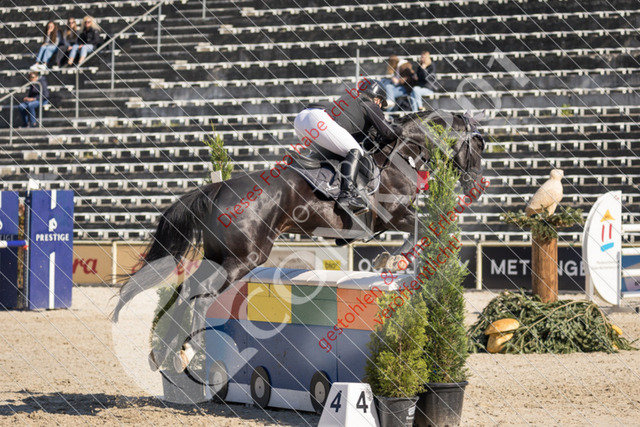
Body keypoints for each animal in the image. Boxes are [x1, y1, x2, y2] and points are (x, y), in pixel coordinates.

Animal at [112, 110, 486, 372]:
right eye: (479, 146)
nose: (476, 188)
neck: (399, 155)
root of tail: (218, 188)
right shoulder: (392, 215)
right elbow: (423, 228)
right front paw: (393, 260)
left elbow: (424, 229)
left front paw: (395, 260)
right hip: (245, 258)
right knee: (200, 296)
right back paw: (194, 349)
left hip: (220, 257)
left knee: (187, 291)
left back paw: (169, 354)